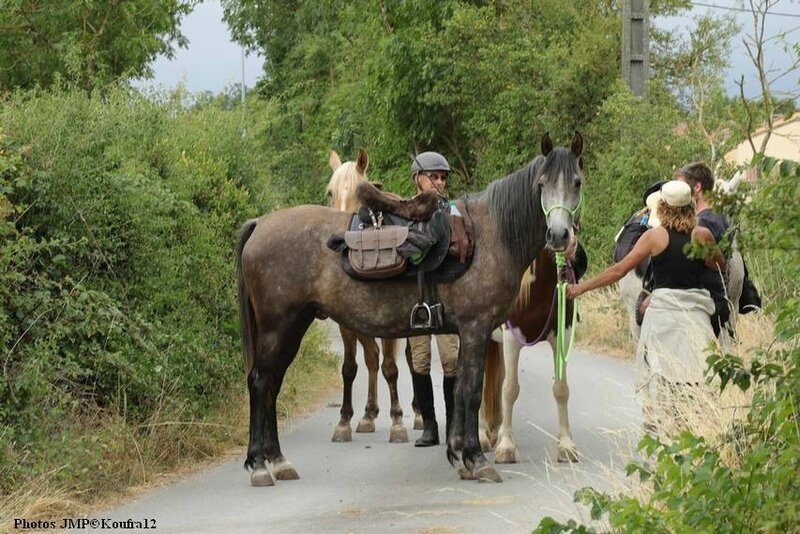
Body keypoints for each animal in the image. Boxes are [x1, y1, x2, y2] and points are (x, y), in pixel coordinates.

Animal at [324, 149, 410, 446]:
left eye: (360, 193)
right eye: (330, 192)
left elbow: (391, 367)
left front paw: (398, 422)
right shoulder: (346, 324)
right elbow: (350, 367)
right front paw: (343, 422)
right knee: (371, 358)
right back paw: (368, 414)